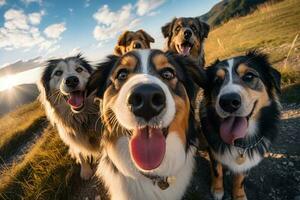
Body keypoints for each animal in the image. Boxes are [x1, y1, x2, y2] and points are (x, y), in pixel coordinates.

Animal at [199, 50, 282, 199]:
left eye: (249, 76)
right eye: (217, 81)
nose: (228, 102)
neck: (238, 142)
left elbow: (240, 179)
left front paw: (239, 196)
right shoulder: (214, 149)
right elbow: (217, 171)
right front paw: (218, 190)